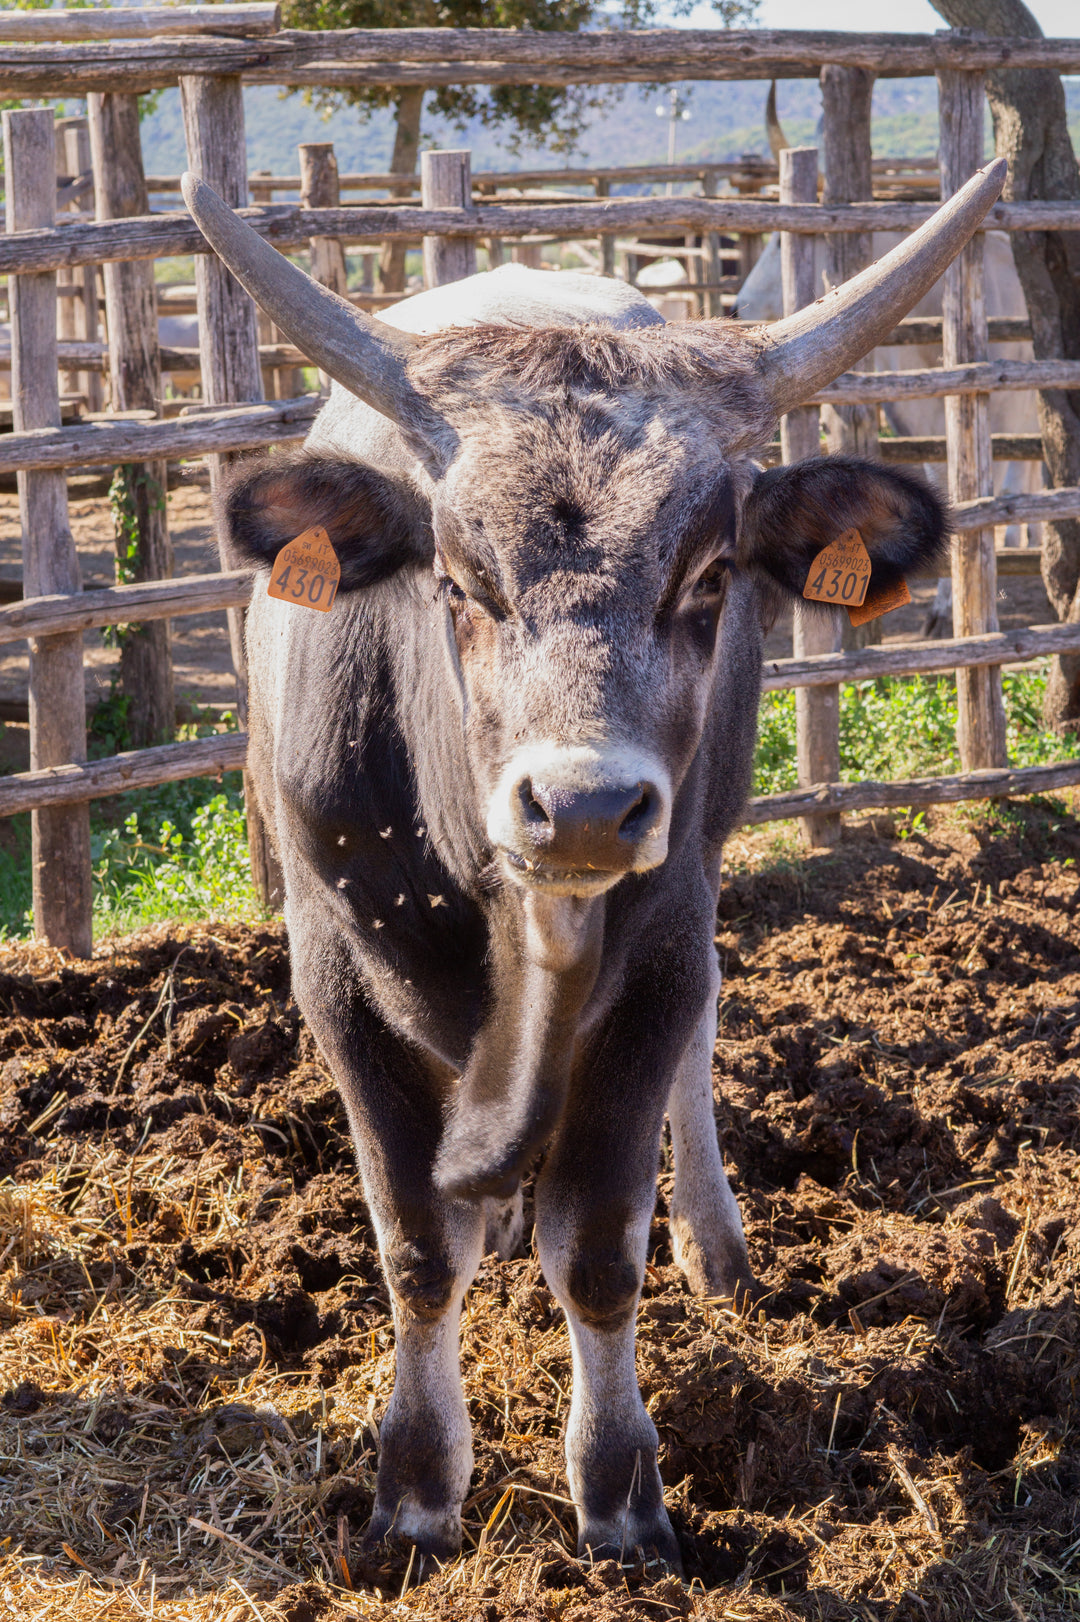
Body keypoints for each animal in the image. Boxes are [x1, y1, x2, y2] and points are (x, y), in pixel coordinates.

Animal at [183, 161, 998, 1570]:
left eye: (711, 575)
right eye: (458, 580)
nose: (581, 807)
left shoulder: (657, 946)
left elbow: (604, 1247)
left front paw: (618, 1487)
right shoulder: (335, 977)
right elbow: (418, 1249)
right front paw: (417, 1484)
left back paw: (715, 1249)